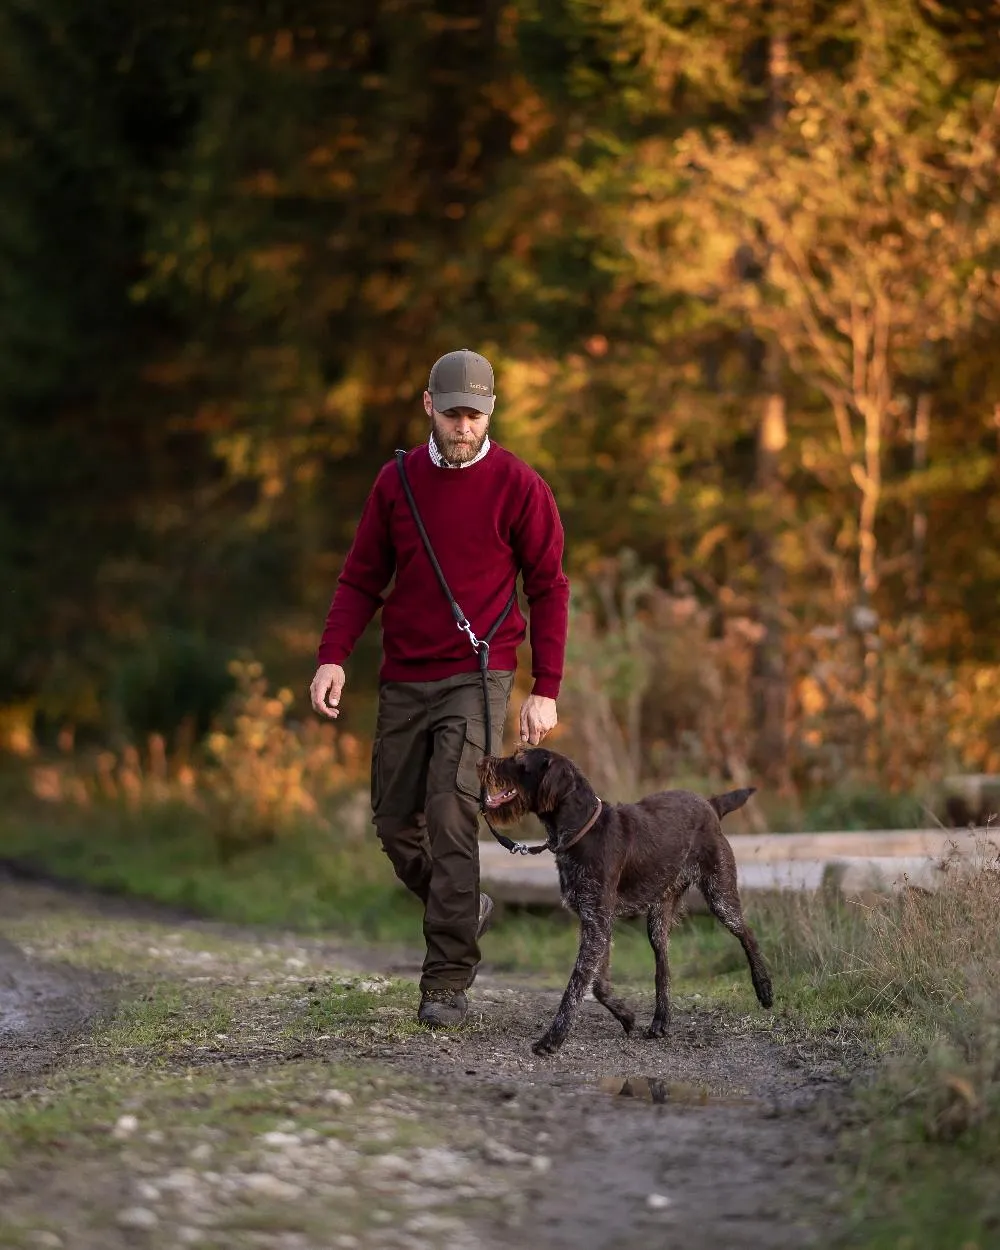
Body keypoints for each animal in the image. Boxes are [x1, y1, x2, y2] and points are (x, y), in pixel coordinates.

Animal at [477, 740, 775, 1055]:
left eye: (519, 758)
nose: (481, 761)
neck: (581, 831)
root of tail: (710, 804)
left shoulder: (597, 923)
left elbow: (576, 986)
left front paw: (552, 1038)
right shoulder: (595, 921)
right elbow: (598, 985)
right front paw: (627, 1016)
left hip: (720, 894)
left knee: (748, 934)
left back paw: (764, 988)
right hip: (658, 919)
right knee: (663, 968)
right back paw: (660, 1021)